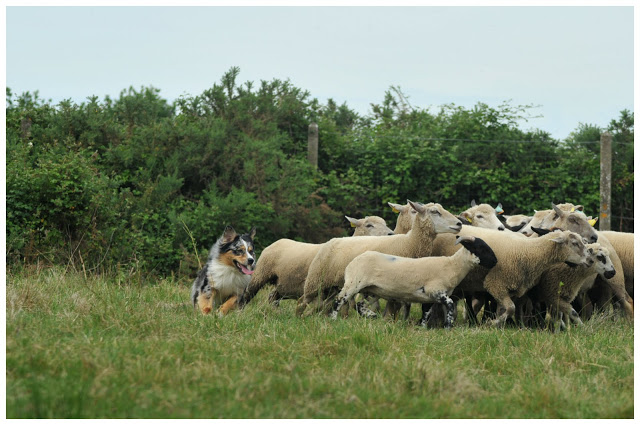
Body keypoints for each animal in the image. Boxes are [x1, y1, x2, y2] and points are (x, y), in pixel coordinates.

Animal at [238, 214, 392, 306]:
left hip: (285, 284)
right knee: (248, 294)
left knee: (272, 296)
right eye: (369, 225)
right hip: (260, 274)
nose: (391, 233)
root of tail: (277, 242)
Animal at [298, 201, 462, 314]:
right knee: (301, 302)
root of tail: (332, 241)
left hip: (331, 287)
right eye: (435, 212)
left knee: (322, 305)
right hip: (315, 281)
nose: (459, 223)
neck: (408, 242)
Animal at [330, 235, 500, 328]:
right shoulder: (435, 290)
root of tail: (352, 262)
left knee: (359, 304)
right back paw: (332, 319)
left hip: (370, 289)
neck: (452, 266)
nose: (495, 262)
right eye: (481, 248)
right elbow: (451, 305)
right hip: (354, 283)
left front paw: (423, 327)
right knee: (339, 300)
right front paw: (448, 325)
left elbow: (426, 312)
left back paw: (370, 315)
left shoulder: (429, 297)